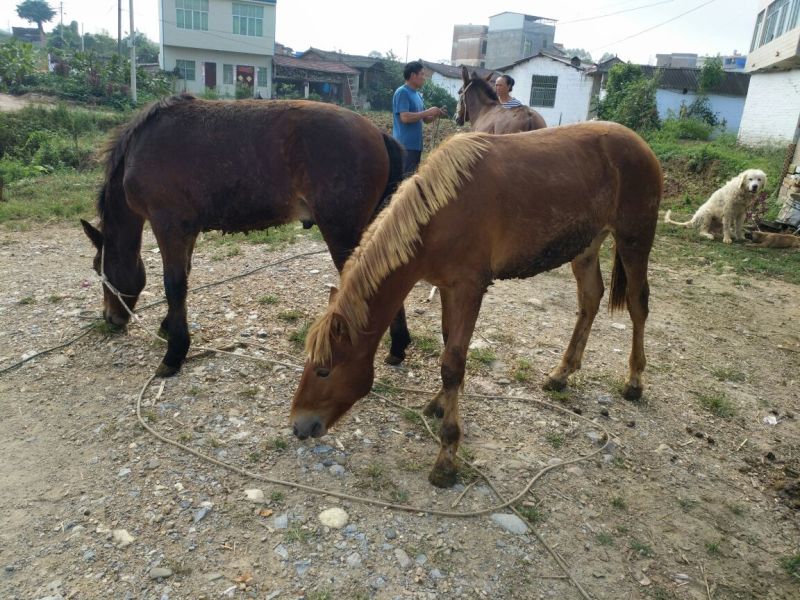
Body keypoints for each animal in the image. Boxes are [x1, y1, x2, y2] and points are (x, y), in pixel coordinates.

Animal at [81, 94, 411, 378]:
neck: (140, 147)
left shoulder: (168, 226)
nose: (111, 318)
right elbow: (183, 279)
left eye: (99, 269)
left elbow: (174, 285)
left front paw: (175, 353)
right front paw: (169, 326)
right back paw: (397, 345)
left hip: (342, 233)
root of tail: (377, 132)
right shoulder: (186, 230)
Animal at [290, 121, 662, 487]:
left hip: (634, 239)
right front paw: (440, 403)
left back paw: (634, 380)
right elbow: (447, 345)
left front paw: (446, 456)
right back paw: (562, 373)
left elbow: (453, 364)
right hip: (586, 245)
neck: (441, 213)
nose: (298, 425)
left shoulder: (469, 290)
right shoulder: (446, 288)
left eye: (324, 370)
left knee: (637, 305)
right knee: (589, 299)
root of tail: (639, 144)